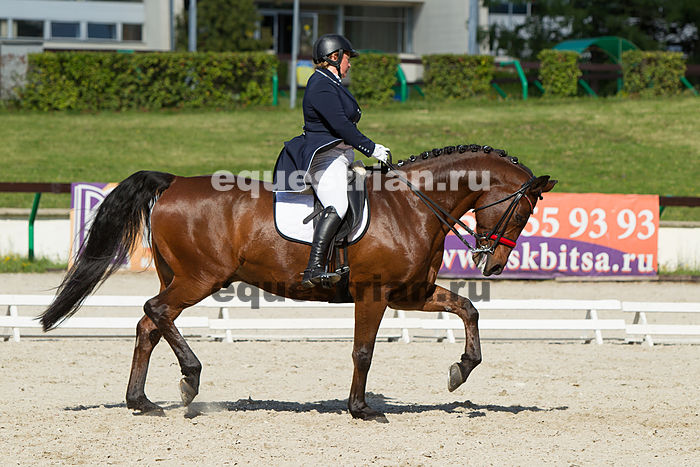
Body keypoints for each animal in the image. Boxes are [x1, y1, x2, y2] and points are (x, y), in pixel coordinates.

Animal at [40, 144, 556, 421]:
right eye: (522, 213)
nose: (494, 265)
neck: (413, 204)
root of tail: (173, 181)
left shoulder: (411, 294)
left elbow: (469, 309)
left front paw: (459, 370)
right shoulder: (373, 294)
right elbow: (363, 351)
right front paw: (360, 408)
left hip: (182, 275)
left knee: (149, 324)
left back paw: (142, 401)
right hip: (201, 277)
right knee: (157, 312)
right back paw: (189, 379)